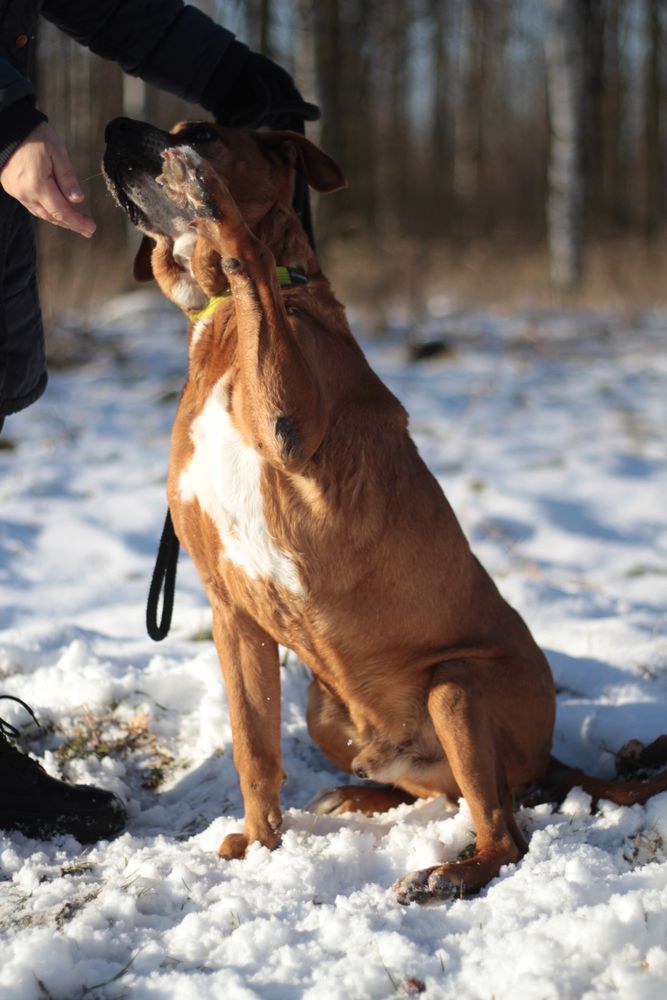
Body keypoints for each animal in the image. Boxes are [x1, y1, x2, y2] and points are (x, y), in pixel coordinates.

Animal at [103, 119, 667, 908]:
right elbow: (253, 747)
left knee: (504, 830)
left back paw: (448, 872)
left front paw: (212, 203)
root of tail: (550, 759)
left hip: (455, 689)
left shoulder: (291, 422)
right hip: (327, 710)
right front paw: (261, 846)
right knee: (448, 794)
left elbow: (247, 249)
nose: (114, 130)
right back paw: (360, 796)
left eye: (206, 131)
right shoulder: (231, 613)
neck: (224, 327)